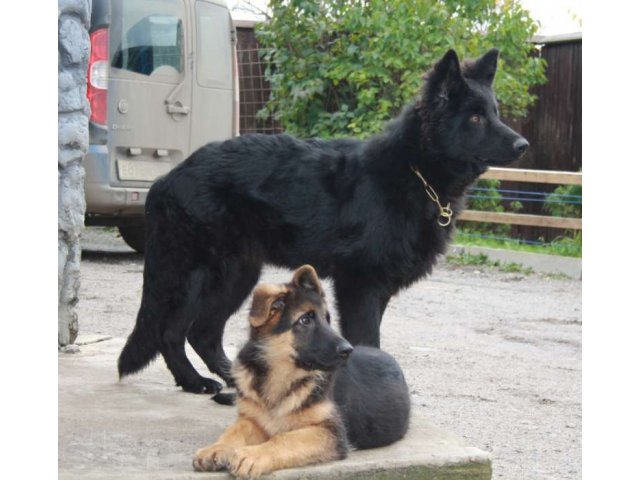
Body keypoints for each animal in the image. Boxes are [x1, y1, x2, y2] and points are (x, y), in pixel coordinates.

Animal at [117, 48, 528, 394]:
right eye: (475, 117)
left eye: (494, 112)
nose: (523, 145)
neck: (415, 170)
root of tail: (168, 178)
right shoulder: (360, 287)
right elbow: (367, 342)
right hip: (197, 276)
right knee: (171, 332)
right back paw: (193, 382)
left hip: (236, 276)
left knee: (203, 333)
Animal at [192, 264, 410, 478]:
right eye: (305, 320)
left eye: (327, 319)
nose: (348, 350)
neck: (280, 375)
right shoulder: (253, 420)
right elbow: (235, 430)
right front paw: (215, 448)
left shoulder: (331, 433)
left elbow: (284, 438)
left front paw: (251, 455)